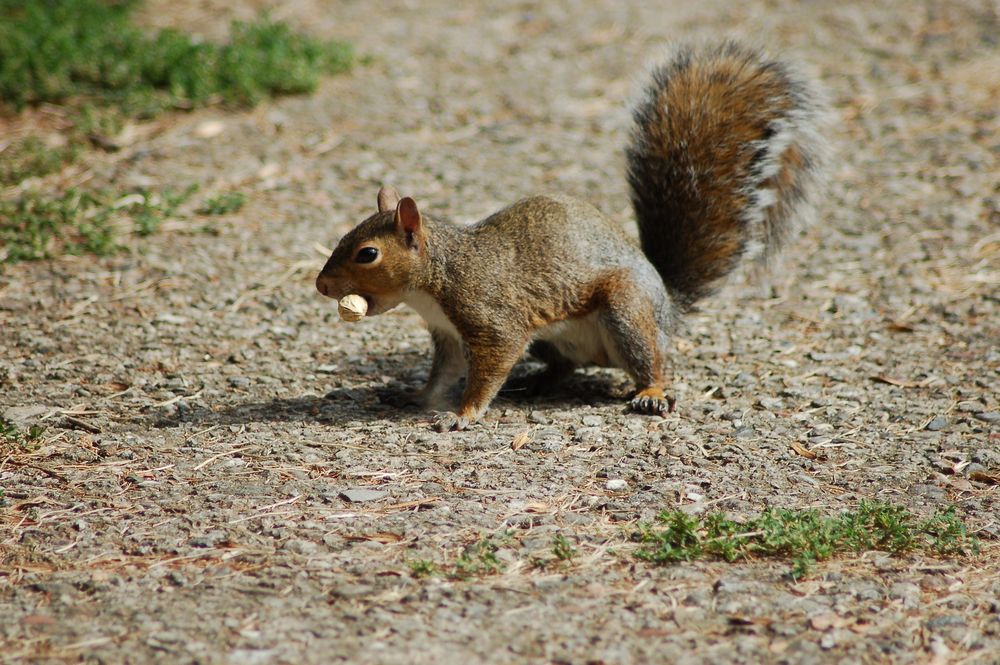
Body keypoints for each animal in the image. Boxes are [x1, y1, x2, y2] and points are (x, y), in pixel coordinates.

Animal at [318, 42, 828, 436]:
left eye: (367, 254)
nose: (322, 285)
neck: (439, 275)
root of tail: (667, 305)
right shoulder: (447, 334)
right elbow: (442, 375)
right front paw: (417, 397)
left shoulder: (492, 319)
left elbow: (487, 370)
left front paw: (463, 415)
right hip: (552, 337)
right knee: (566, 364)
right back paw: (540, 381)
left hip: (626, 311)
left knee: (653, 360)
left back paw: (650, 392)